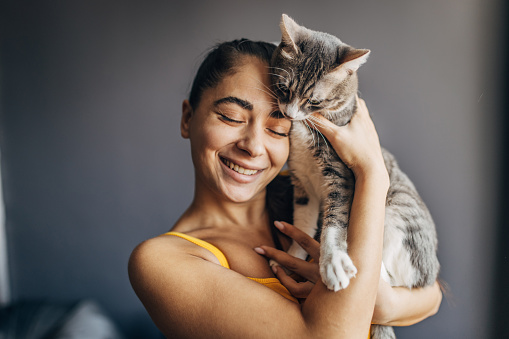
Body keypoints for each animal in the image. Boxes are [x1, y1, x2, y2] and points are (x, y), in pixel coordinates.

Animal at [270, 14, 440, 338]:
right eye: (284, 88)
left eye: (315, 102)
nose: (290, 115)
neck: (306, 129)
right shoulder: (302, 183)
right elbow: (303, 221)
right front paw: (295, 255)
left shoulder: (341, 175)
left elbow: (335, 222)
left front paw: (332, 261)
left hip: (397, 209)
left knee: (389, 273)